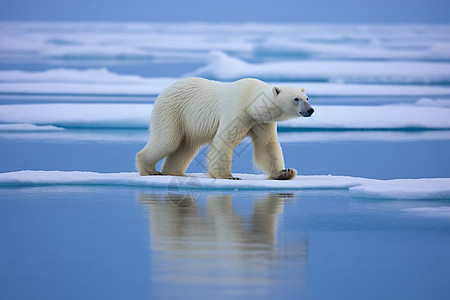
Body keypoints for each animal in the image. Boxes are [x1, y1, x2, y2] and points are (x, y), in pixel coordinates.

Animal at [136, 78, 312, 180]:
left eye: (307, 98)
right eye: (296, 99)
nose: (311, 110)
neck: (251, 100)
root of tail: (165, 90)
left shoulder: (261, 121)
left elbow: (267, 144)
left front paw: (285, 172)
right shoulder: (238, 109)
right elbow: (226, 140)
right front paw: (228, 176)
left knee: (186, 147)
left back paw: (174, 172)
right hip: (173, 111)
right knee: (168, 141)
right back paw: (150, 170)